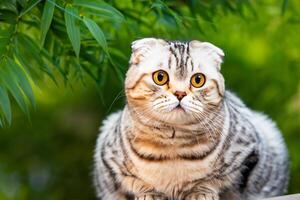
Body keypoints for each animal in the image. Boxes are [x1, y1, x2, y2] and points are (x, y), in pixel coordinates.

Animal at [93, 38, 288, 199]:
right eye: (160, 77)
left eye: (198, 80)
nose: (180, 93)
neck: (173, 145)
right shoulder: (109, 159)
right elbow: (135, 182)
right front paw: (150, 194)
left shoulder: (248, 154)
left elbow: (216, 180)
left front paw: (200, 193)